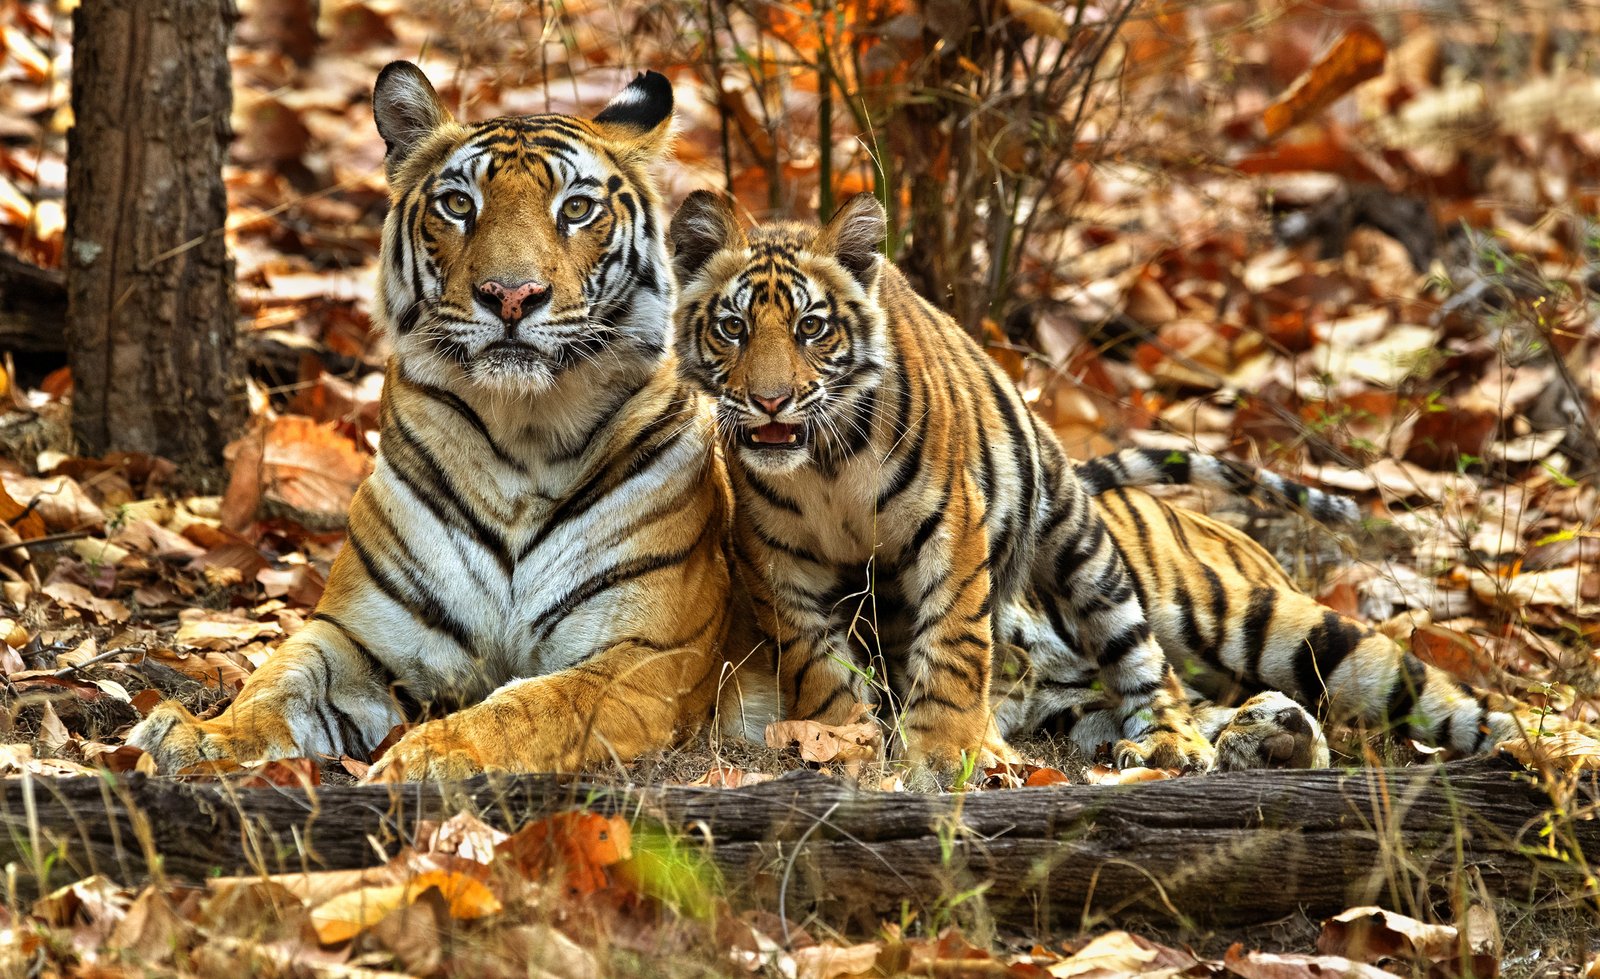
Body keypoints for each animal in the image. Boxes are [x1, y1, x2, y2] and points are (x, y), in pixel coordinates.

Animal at [131, 63, 737, 780]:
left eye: (576, 209)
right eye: (458, 204)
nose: (511, 295)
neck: (525, 436)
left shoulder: (642, 658)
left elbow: (533, 707)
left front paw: (431, 754)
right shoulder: (355, 632)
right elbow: (279, 680)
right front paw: (203, 738)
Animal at [669, 191, 1577, 772]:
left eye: (812, 328)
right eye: (734, 327)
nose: (769, 398)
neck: (824, 464)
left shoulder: (950, 533)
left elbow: (954, 649)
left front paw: (940, 756)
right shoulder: (779, 564)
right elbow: (821, 668)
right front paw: (849, 745)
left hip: (1228, 607)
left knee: (1180, 671)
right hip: (1084, 695)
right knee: (1218, 706)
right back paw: (1258, 734)